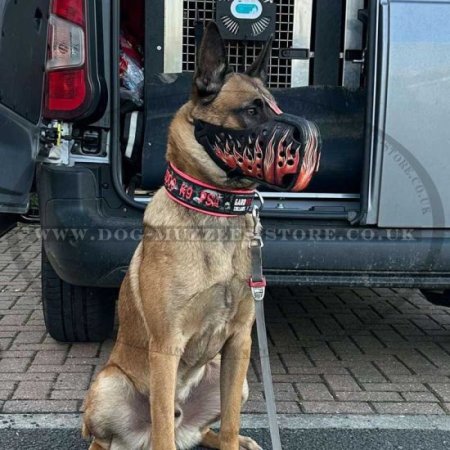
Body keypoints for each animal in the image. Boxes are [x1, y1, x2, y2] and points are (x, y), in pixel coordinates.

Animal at [83, 20, 320, 450]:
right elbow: (162, 430)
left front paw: (234, 439)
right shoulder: (166, 348)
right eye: (251, 110)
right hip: (108, 385)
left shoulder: (239, 344)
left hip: (233, 380)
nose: (308, 138)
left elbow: (229, 424)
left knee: (205, 429)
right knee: (121, 438)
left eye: (275, 107)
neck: (215, 207)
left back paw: (240, 441)